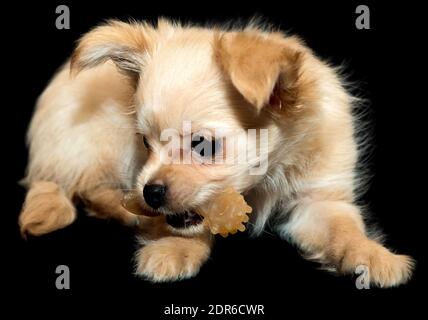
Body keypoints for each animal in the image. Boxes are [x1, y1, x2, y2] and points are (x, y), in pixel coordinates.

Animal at [19, 18, 414, 286]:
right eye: (145, 143)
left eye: (202, 146)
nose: (151, 192)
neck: (261, 183)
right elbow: (187, 226)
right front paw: (174, 248)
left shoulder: (319, 201)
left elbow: (343, 231)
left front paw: (370, 254)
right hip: (97, 141)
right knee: (85, 185)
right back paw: (123, 208)